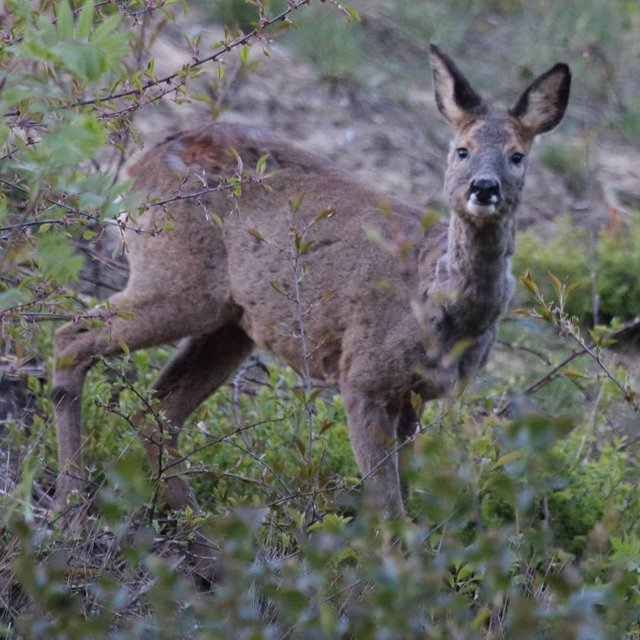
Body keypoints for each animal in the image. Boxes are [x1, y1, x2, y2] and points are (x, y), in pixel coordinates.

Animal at [50, 45, 568, 544]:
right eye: (461, 150)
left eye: (517, 156)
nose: (484, 187)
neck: (440, 305)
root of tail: (139, 164)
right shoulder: (363, 375)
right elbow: (389, 506)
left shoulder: (414, 394)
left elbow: (402, 496)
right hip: (179, 278)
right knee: (71, 339)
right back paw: (74, 514)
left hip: (232, 322)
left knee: (159, 407)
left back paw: (201, 538)